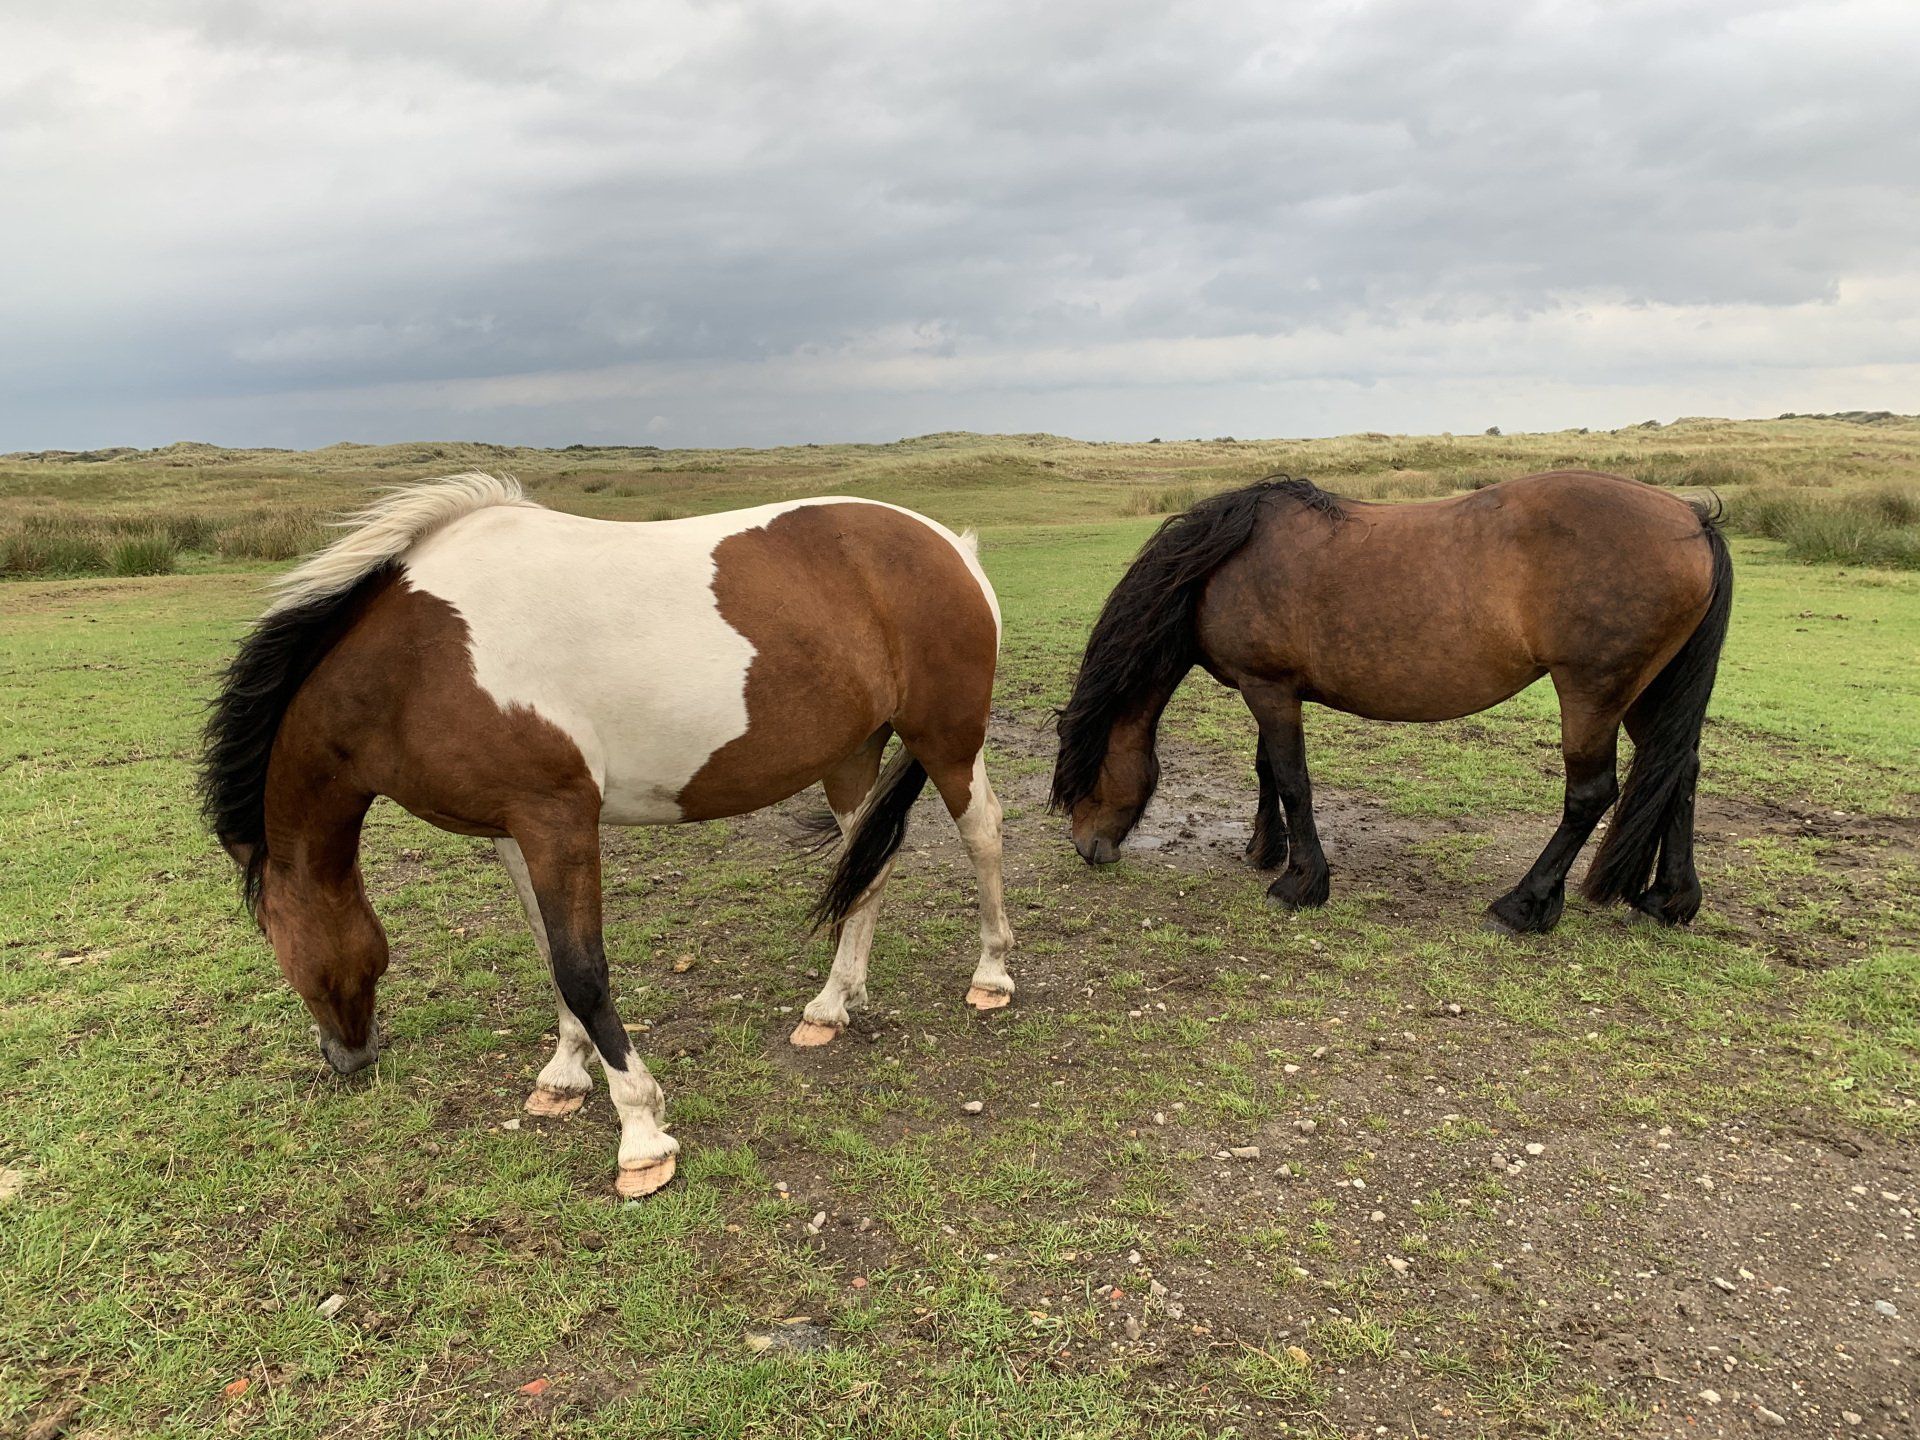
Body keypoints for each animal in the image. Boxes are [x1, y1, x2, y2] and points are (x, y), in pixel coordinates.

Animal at [201, 473, 1013, 1198]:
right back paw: (832, 1004)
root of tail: (950, 545)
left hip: (946, 741)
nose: (346, 1058)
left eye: (281, 944)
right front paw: (564, 1074)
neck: (420, 660)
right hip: (850, 758)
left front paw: (641, 1134)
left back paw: (991, 975)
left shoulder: (557, 818)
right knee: (869, 866)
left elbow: (582, 969)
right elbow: (548, 951)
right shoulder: (514, 830)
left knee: (983, 837)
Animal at [1051, 471, 1733, 933]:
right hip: (1646, 695)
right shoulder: (1267, 688)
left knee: (1591, 794)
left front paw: (1301, 883)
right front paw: (1265, 852)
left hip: (1593, 694)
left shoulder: (1268, 687)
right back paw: (1668, 900)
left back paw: (1524, 905)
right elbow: (1268, 769)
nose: (1088, 848)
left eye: (1084, 769)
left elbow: (1293, 778)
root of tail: (1692, 519)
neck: (1223, 564)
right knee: (1680, 772)